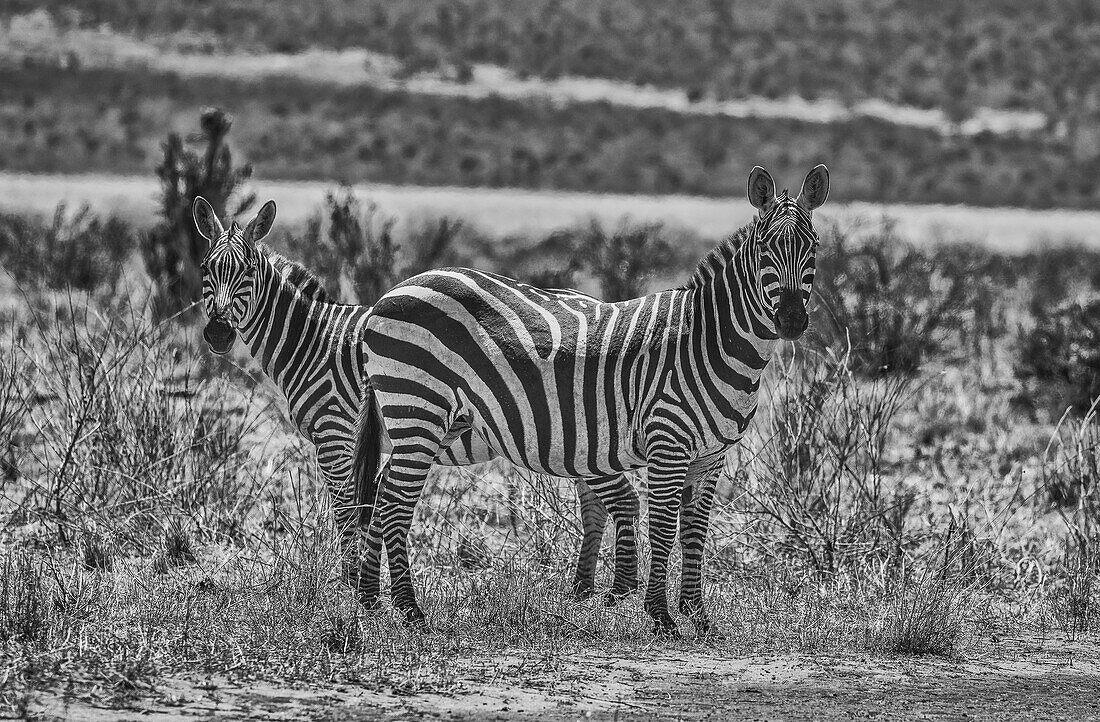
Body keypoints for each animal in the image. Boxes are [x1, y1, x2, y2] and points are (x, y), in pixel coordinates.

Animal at [187, 195, 638, 603]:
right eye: (206, 269)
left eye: (247, 271)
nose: (218, 334)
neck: (313, 341)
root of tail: (595, 301)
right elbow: (373, 508)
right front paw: (371, 586)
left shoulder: (335, 434)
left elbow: (348, 512)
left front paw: (352, 583)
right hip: (572, 441)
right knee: (595, 504)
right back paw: (582, 591)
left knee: (616, 500)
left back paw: (615, 592)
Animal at [356, 161, 827, 633]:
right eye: (765, 249)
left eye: (813, 247)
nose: (790, 321)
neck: (708, 341)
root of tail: (390, 293)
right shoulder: (668, 443)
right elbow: (663, 528)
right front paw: (660, 615)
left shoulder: (711, 455)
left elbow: (695, 530)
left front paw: (697, 615)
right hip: (417, 408)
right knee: (395, 502)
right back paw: (409, 610)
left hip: (434, 423)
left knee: (381, 493)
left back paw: (369, 598)